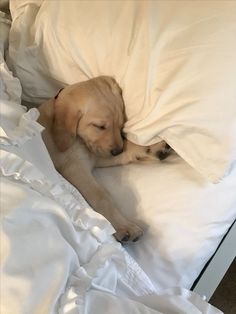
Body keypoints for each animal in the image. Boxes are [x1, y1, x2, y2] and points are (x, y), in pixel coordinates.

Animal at [37, 76, 171, 243]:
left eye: (121, 125)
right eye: (99, 126)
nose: (117, 151)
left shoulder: (97, 154)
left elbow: (128, 147)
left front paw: (152, 147)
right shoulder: (74, 167)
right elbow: (101, 196)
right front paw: (125, 227)